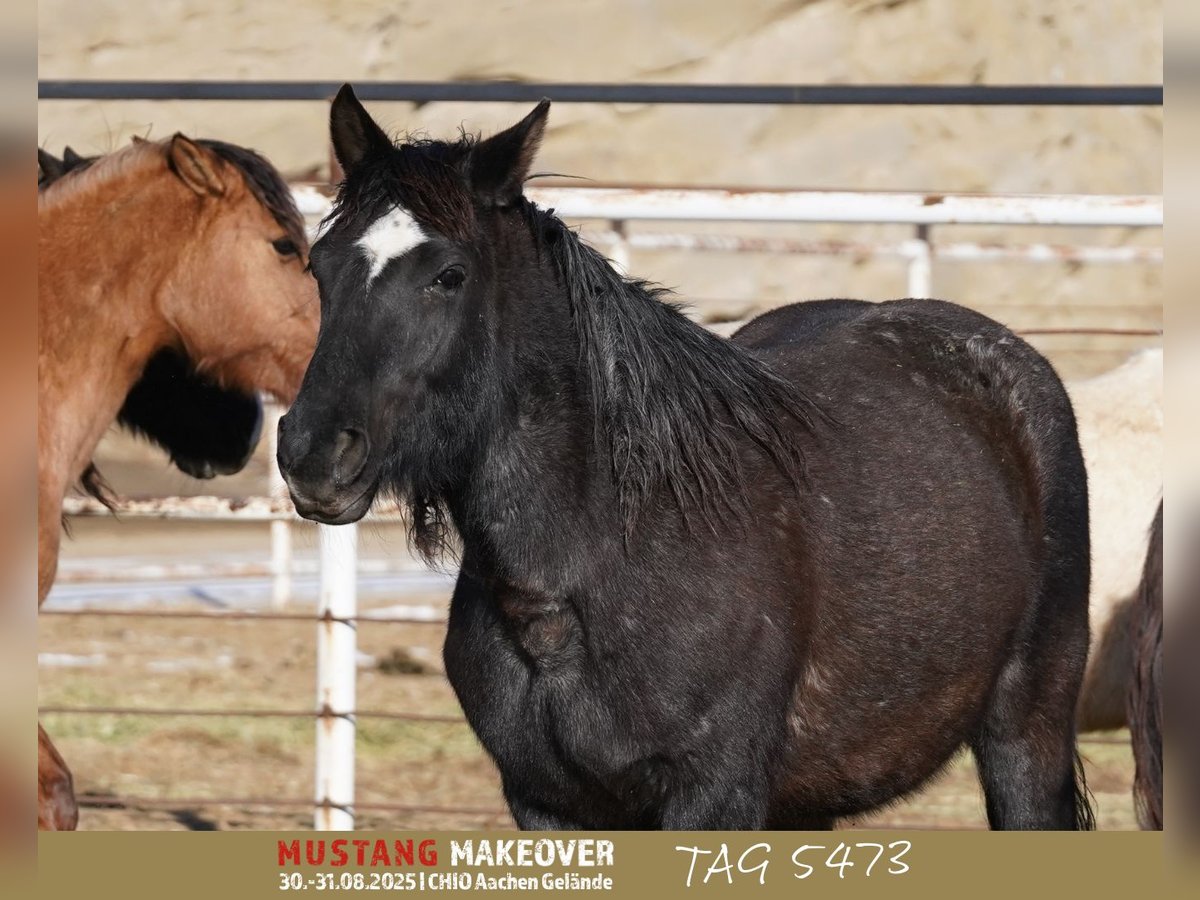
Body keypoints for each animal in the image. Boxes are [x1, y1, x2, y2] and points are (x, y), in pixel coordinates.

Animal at [278, 86, 1099, 830]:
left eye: (448, 275)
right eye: (319, 265)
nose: (311, 454)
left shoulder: (714, 797)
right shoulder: (548, 804)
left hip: (1026, 739)